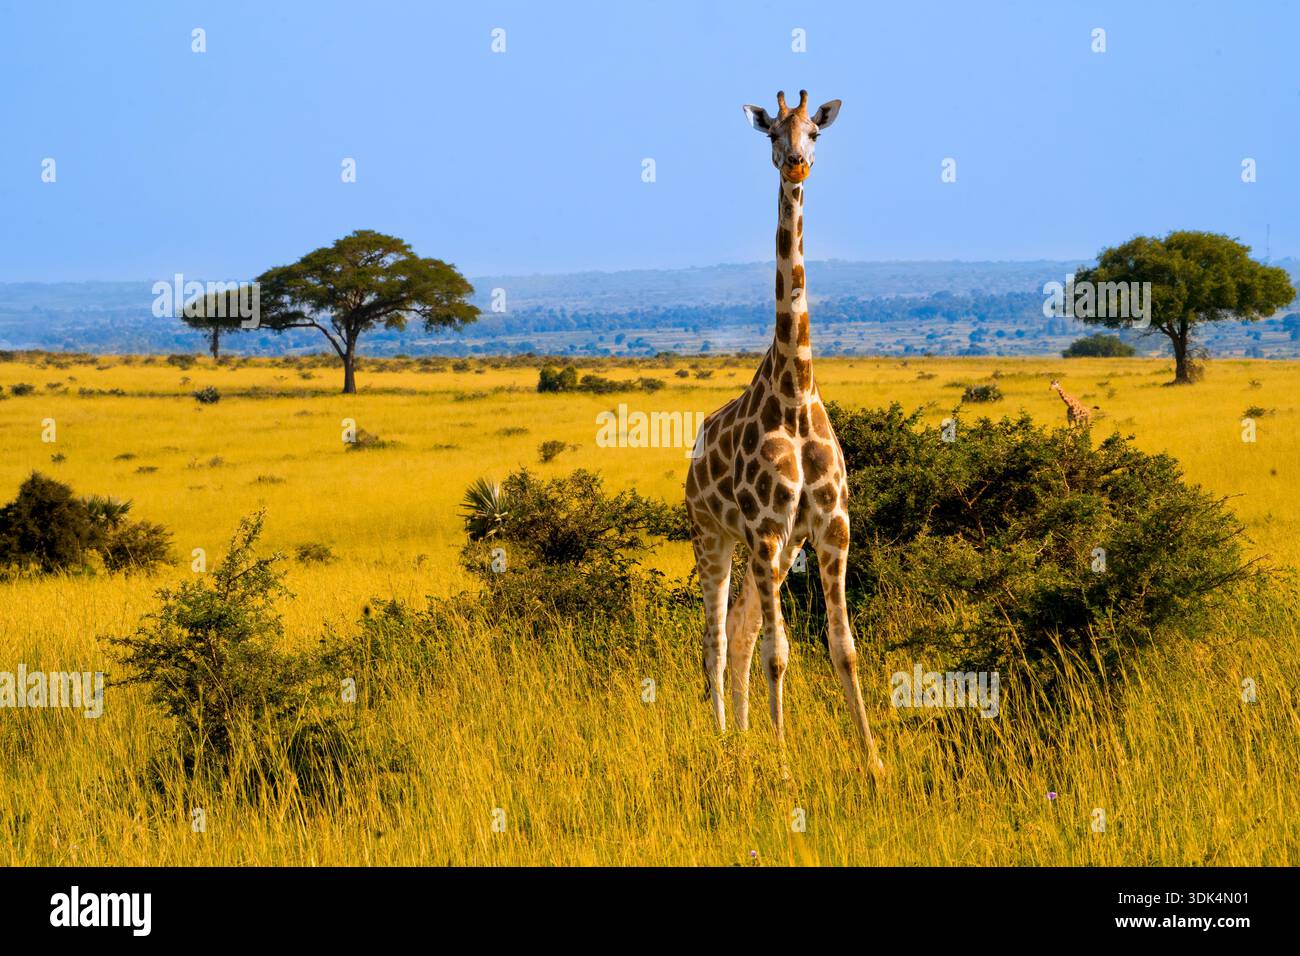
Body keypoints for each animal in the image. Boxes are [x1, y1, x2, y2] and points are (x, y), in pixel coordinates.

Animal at [684, 90, 884, 777]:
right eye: (773, 130)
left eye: (815, 131)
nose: (796, 162)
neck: (795, 391)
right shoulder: (768, 528)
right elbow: (780, 653)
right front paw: (785, 767)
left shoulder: (828, 527)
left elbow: (843, 647)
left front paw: (875, 764)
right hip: (715, 537)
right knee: (717, 639)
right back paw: (725, 741)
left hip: (763, 550)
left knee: (742, 632)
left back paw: (743, 740)